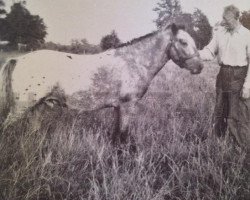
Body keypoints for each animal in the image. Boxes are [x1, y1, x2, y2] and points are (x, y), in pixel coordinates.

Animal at [0, 23, 203, 144]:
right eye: (183, 42)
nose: (199, 67)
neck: (133, 61)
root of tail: (18, 60)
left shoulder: (118, 107)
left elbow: (116, 133)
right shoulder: (128, 106)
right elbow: (123, 134)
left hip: (37, 106)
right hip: (21, 107)